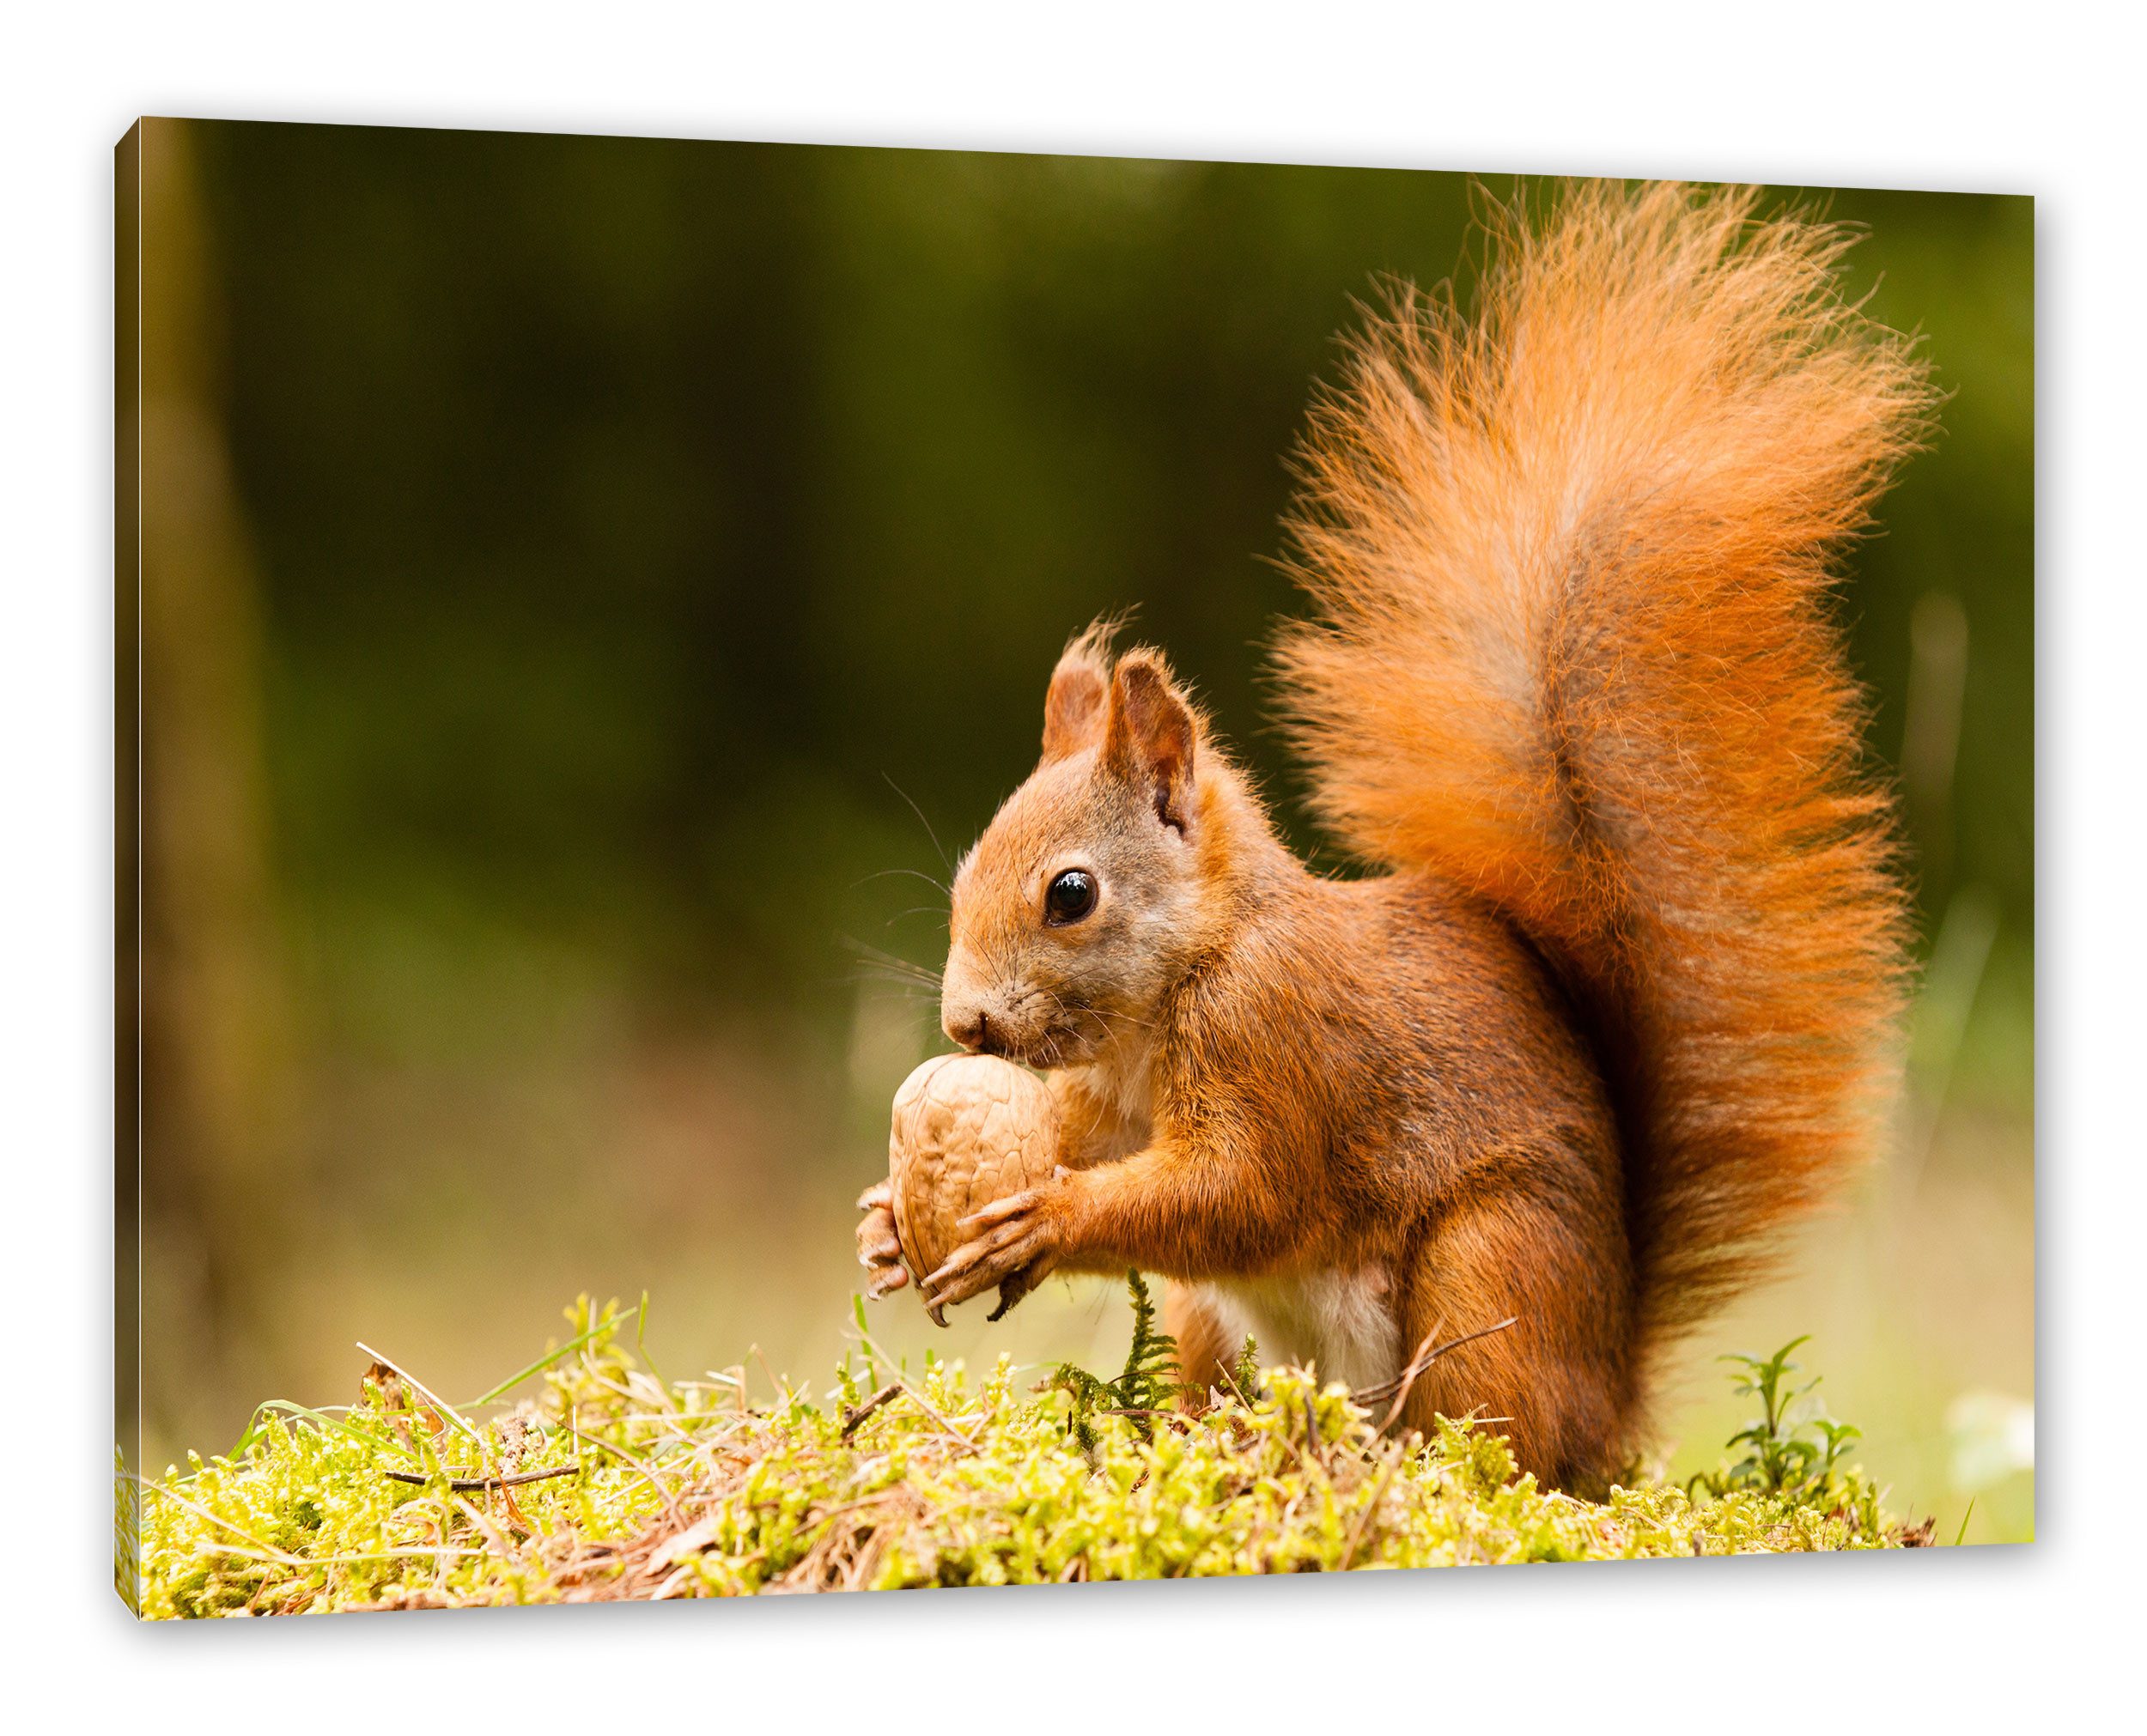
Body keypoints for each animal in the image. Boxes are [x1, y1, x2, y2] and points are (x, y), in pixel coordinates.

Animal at [856, 181, 1934, 1491]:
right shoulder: (1107, 1102)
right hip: (1225, 1324)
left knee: (1492, 1438)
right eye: (968, 866)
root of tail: (1609, 1402)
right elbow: (1093, 1145)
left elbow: (1242, 1194)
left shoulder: (1278, 1043)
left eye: (1071, 893)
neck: (1187, 974)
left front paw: (1046, 1217)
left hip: (1491, 1268)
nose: (964, 1024)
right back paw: (1214, 1438)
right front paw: (886, 1225)